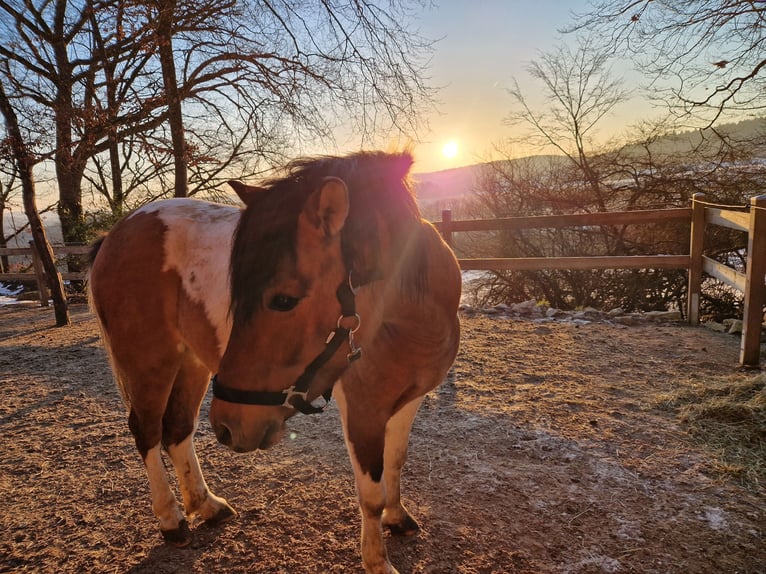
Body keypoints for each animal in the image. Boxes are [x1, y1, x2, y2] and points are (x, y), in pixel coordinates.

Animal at [87, 151, 461, 574]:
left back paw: (207, 505)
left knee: (177, 429)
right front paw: (377, 561)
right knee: (147, 432)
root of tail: (117, 233)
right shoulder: (364, 410)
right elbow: (372, 491)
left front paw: (397, 518)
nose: (228, 427)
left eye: (283, 300)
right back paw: (171, 520)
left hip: (191, 364)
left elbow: (395, 461)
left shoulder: (407, 401)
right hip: (150, 363)